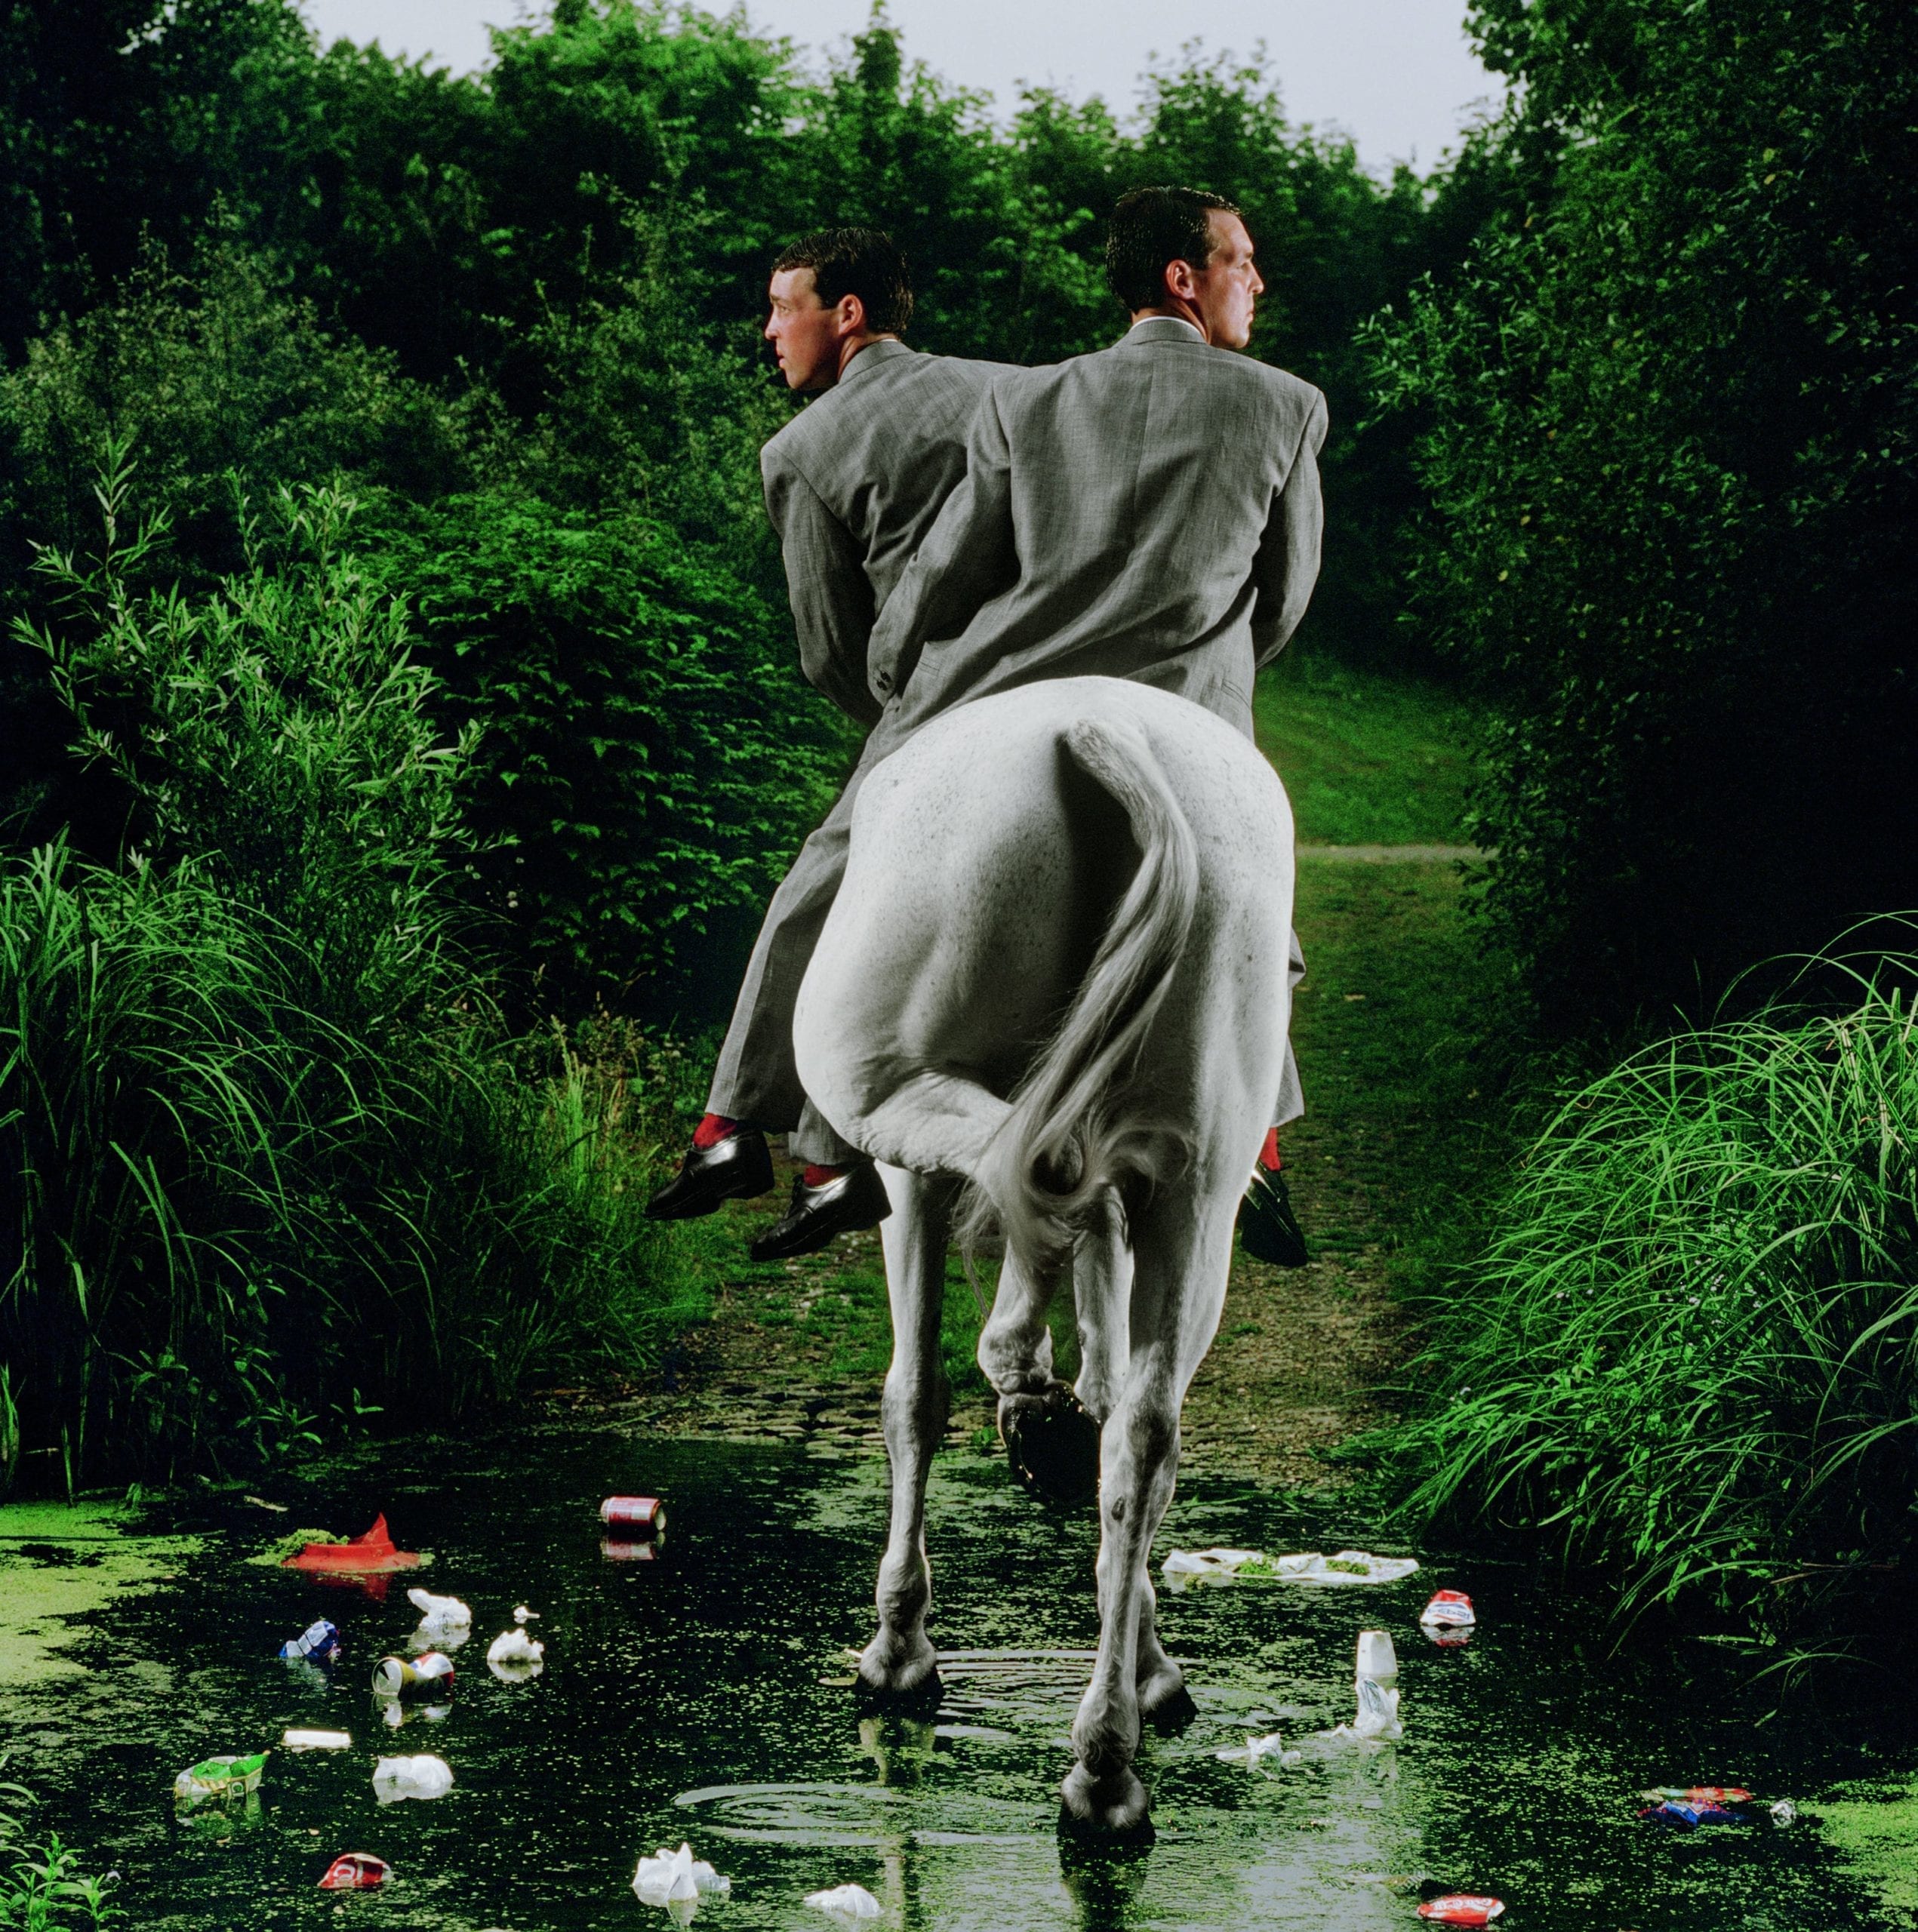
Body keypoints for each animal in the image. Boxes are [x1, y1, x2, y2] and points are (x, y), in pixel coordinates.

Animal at [784, 680, 1298, 1839]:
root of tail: (1101, 730)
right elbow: (1117, 1392)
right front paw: (1149, 1664)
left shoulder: (904, 1190)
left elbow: (912, 1398)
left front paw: (897, 1649)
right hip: (1202, 1185)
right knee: (1145, 1436)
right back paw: (1106, 1763)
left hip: (894, 1086)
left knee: (1040, 1168)